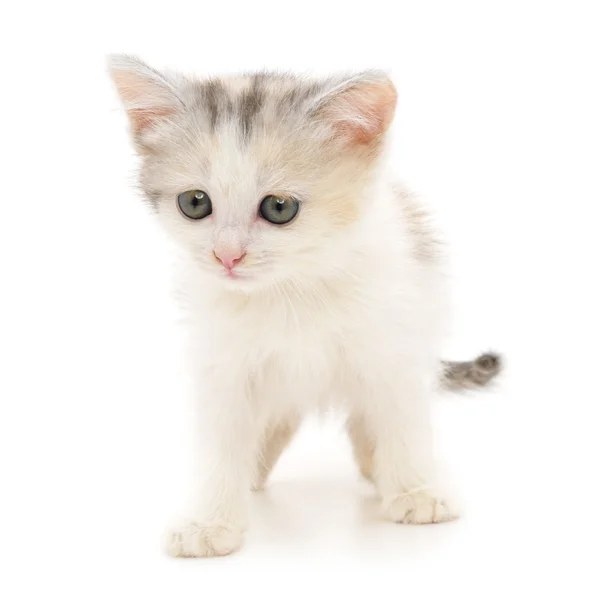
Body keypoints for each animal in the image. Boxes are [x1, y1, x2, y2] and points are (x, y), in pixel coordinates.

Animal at [109, 56, 502, 556]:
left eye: (279, 208)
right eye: (194, 203)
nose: (227, 256)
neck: (291, 290)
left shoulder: (394, 340)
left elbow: (400, 417)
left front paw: (415, 489)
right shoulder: (222, 360)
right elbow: (222, 441)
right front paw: (210, 520)